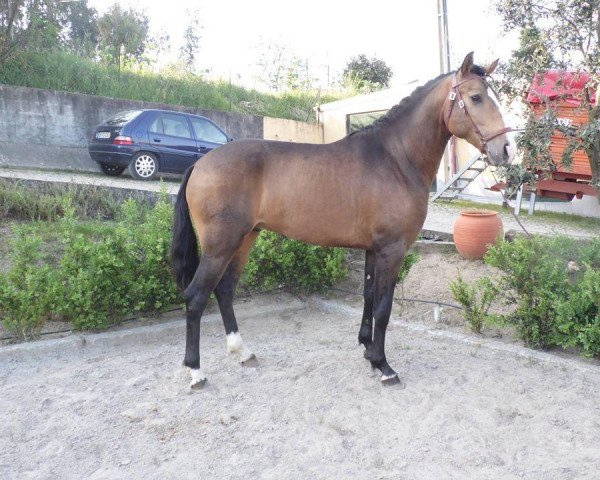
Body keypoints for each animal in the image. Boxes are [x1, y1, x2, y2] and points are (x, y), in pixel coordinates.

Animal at [171, 53, 512, 390]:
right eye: (476, 97)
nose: (505, 150)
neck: (395, 159)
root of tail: (201, 163)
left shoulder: (373, 249)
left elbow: (369, 298)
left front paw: (367, 351)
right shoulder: (392, 249)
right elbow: (383, 308)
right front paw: (384, 366)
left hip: (245, 239)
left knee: (225, 290)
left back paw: (242, 352)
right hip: (221, 245)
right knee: (196, 296)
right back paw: (196, 371)